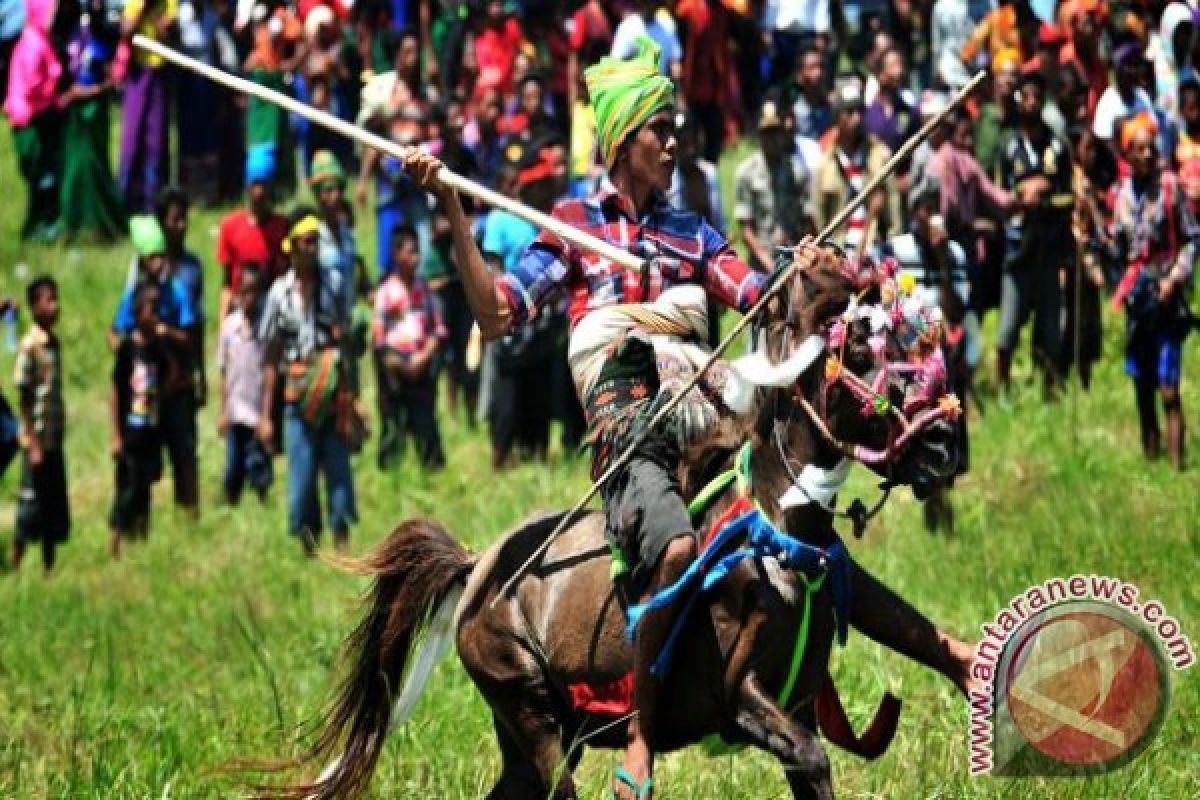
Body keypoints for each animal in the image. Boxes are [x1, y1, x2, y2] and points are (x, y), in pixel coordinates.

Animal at [258, 253, 969, 796]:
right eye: (865, 356)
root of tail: (477, 569)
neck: (777, 533)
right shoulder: (742, 698)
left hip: (535, 736)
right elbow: (810, 753)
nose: (945, 444)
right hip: (530, 714)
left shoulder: (799, 697)